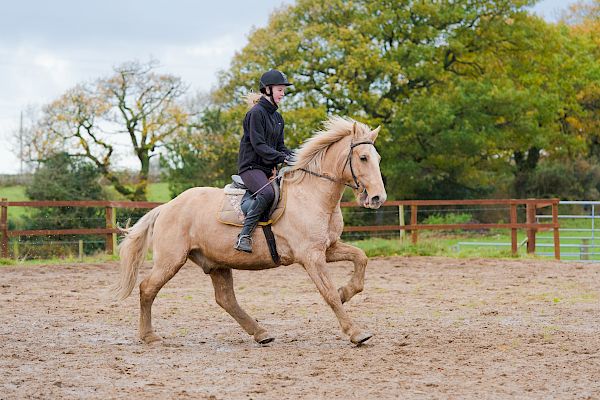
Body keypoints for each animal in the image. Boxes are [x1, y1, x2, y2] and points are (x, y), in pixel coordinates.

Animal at [110, 114, 386, 346]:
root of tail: (166, 207)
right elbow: (328, 293)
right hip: (171, 260)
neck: (312, 194)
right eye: (363, 158)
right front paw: (355, 332)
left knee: (225, 300)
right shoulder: (311, 256)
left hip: (216, 263)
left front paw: (346, 292)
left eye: (378, 159)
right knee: (147, 288)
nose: (377, 198)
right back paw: (149, 336)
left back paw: (261, 333)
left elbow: (361, 258)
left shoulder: (328, 248)